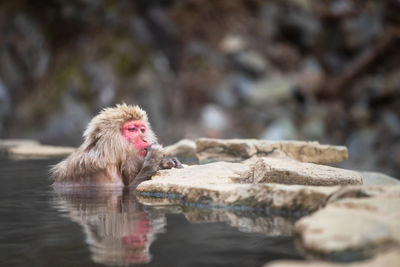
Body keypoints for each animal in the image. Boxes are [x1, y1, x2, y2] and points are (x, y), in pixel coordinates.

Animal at [50, 103, 182, 187]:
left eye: (142, 129)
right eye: (132, 129)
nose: (144, 139)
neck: (110, 153)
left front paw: (167, 162)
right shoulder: (105, 172)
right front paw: (154, 160)